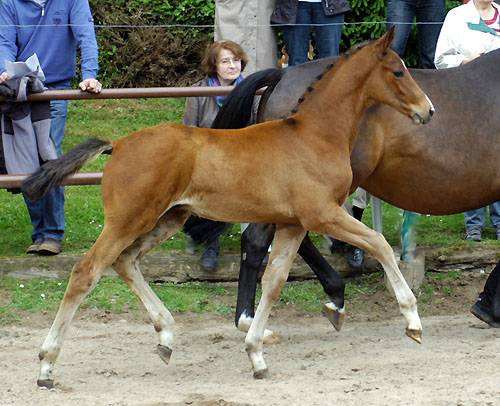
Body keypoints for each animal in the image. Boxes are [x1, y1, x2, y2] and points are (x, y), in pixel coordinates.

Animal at [21, 30, 432, 386]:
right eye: (398, 71)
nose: (427, 111)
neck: (313, 135)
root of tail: (118, 144)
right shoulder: (322, 213)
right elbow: (379, 243)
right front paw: (412, 320)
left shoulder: (293, 224)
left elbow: (275, 280)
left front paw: (256, 353)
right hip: (128, 219)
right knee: (86, 271)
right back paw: (46, 366)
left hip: (168, 218)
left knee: (125, 262)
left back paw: (166, 337)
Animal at [215, 41, 500, 334]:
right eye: (398, 72)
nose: (429, 110)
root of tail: (282, 74)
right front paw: (488, 307)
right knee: (259, 239)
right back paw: (254, 316)